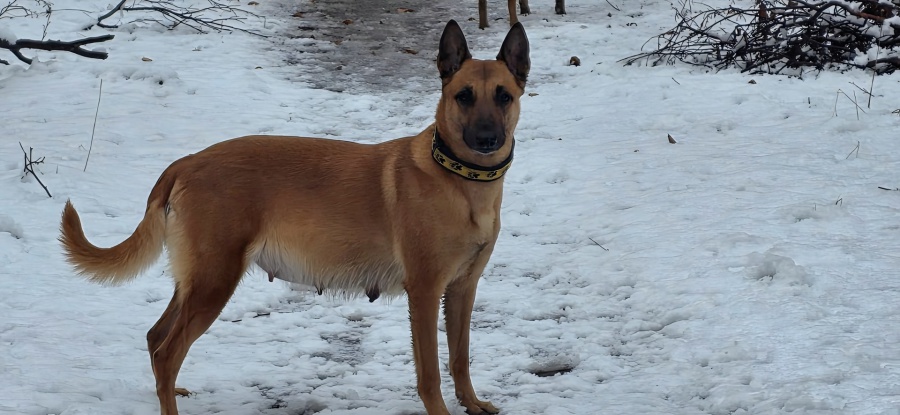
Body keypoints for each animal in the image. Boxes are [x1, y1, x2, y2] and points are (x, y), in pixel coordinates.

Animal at [59, 20, 529, 415]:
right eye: (463, 96)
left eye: (503, 96)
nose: (487, 139)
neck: (461, 181)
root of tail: (186, 162)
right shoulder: (426, 292)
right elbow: (430, 372)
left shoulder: (463, 288)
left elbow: (460, 357)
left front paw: (472, 404)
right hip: (214, 280)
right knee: (167, 351)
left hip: (196, 279)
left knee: (156, 339)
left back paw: (169, 390)